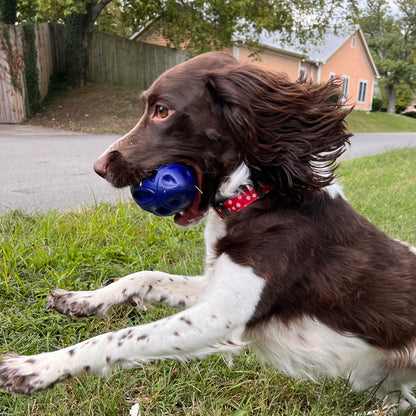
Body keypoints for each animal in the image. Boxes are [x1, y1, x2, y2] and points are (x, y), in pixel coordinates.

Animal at [0, 51, 416, 410]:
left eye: (162, 111)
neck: (255, 196)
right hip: (376, 377)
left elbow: (120, 337)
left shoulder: (224, 315)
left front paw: (36, 367)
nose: (99, 167)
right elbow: (144, 277)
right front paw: (82, 300)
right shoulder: (215, 287)